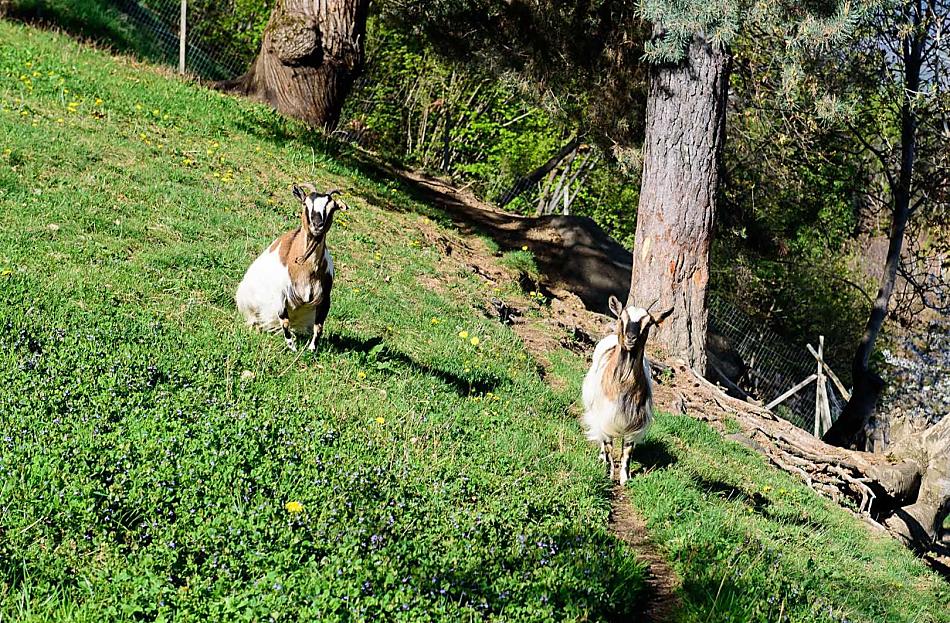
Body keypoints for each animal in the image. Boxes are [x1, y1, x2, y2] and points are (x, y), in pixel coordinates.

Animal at [236, 184, 345, 352]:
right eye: (305, 203)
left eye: (332, 208)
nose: (317, 226)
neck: (305, 268)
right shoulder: (280, 295)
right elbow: (285, 321)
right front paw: (292, 347)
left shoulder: (325, 298)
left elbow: (319, 327)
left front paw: (312, 349)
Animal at [582, 295, 672, 484]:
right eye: (621, 318)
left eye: (648, 323)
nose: (631, 338)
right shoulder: (604, 416)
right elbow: (608, 446)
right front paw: (609, 474)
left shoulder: (635, 421)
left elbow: (627, 451)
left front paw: (625, 478)